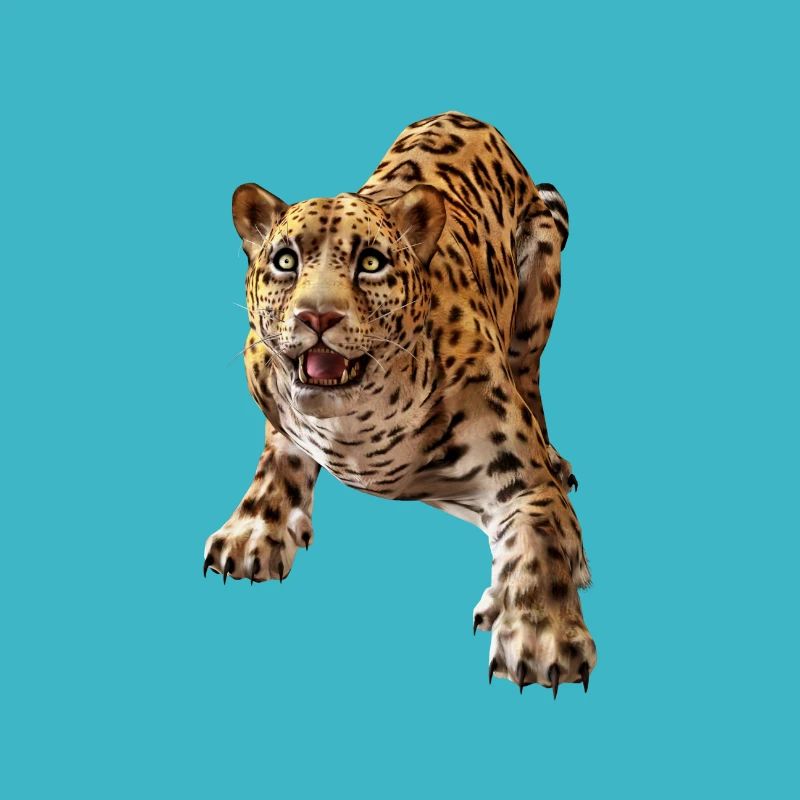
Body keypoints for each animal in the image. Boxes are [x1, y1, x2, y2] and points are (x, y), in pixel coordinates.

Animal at [203, 111, 596, 695]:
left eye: (371, 262)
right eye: (285, 260)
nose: (317, 317)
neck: (356, 428)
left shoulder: (522, 480)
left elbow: (542, 539)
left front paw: (542, 634)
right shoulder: (276, 406)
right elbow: (278, 458)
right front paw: (252, 529)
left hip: (538, 289)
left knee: (532, 380)